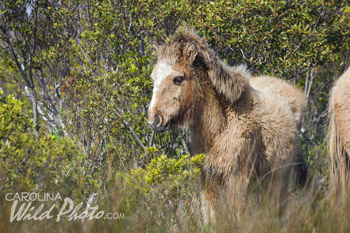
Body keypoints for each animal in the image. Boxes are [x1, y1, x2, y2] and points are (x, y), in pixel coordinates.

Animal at [148, 28, 306, 218]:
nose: (155, 119)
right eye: (153, 77)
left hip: (279, 179)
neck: (219, 129)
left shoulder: (237, 179)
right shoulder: (208, 181)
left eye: (178, 78)